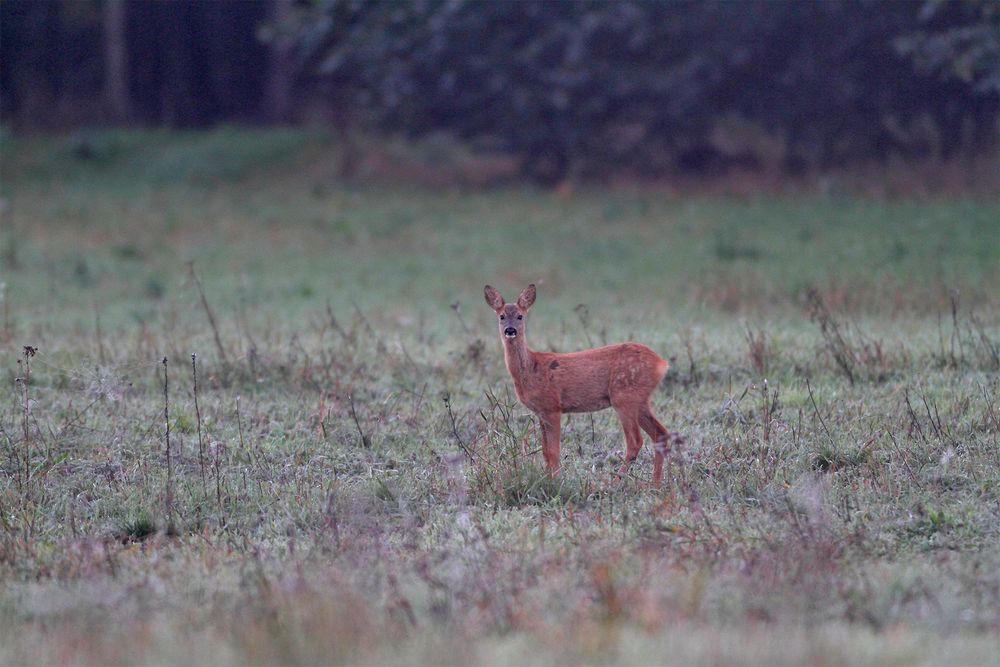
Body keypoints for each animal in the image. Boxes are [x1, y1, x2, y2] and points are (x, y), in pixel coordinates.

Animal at [482, 284, 672, 488]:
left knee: (635, 441)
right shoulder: (540, 412)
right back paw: (655, 484)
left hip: (624, 396)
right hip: (640, 399)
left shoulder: (552, 406)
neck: (532, 367)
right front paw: (547, 479)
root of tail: (661, 363)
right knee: (660, 433)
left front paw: (556, 482)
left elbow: (554, 452)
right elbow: (545, 451)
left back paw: (613, 483)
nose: (510, 330)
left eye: (520, 316)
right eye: (501, 316)